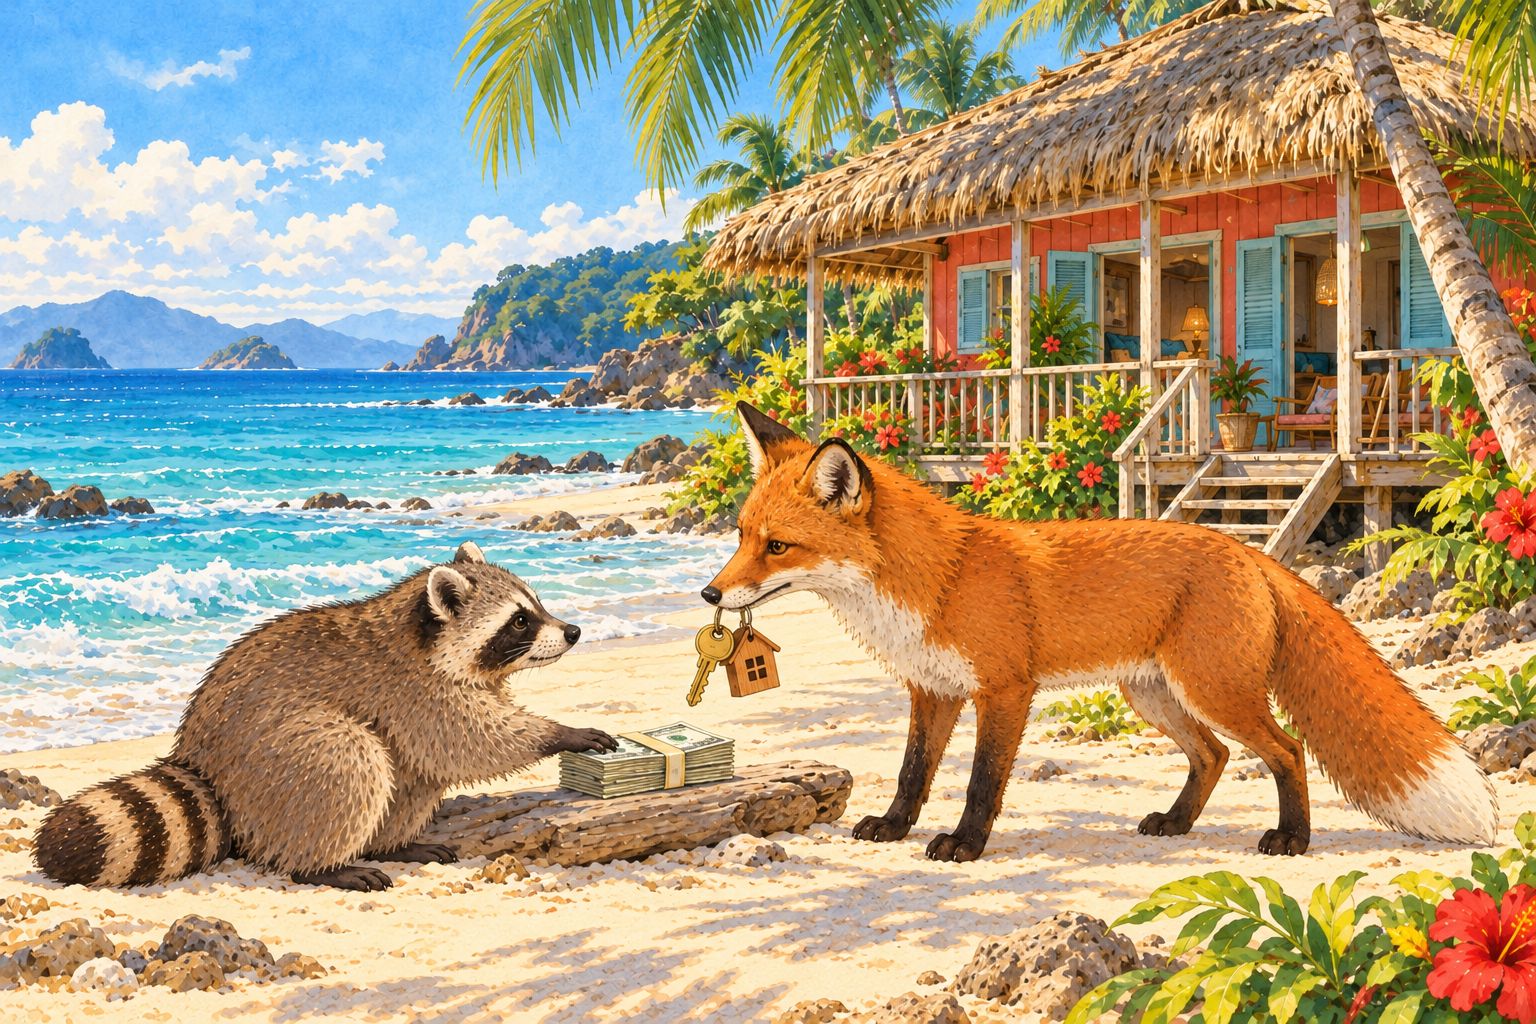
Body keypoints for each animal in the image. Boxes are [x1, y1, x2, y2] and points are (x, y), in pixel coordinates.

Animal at [35, 541, 617, 891]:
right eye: (520, 621)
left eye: (536, 605)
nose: (573, 632)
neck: (422, 635)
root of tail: (200, 757)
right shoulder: (410, 692)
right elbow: (472, 740)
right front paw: (561, 733)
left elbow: (445, 753)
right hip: (275, 760)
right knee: (351, 758)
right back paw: (322, 867)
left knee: (407, 776)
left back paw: (392, 843)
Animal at [701, 402, 1498, 861]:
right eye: (741, 536)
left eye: (778, 547)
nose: (709, 592)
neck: (935, 579)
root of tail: (1249, 553)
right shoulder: (932, 691)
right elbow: (911, 774)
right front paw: (895, 829)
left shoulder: (1004, 690)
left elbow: (981, 783)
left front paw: (965, 844)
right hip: (1154, 696)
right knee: (1212, 757)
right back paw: (1176, 824)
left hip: (1212, 690)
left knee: (1287, 750)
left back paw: (1292, 839)